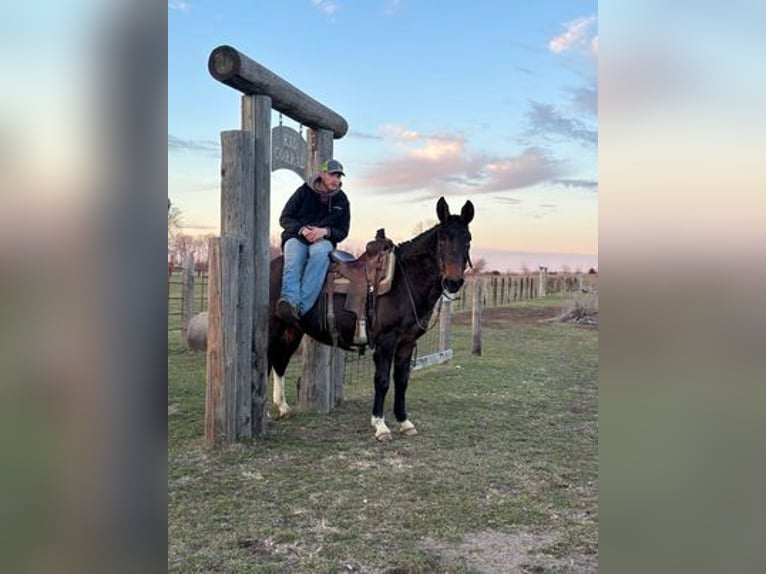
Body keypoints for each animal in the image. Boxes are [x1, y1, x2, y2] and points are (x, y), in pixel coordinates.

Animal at [268, 196, 474, 444]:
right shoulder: (386, 341)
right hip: (271, 327)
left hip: (292, 330)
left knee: (279, 362)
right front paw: (380, 425)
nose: (453, 282)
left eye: (468, 240)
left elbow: (402, 381)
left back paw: (283, 408)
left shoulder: (407, 342)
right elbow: (382, 380)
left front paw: (404, 422)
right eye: (442, 240)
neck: (403, 281)